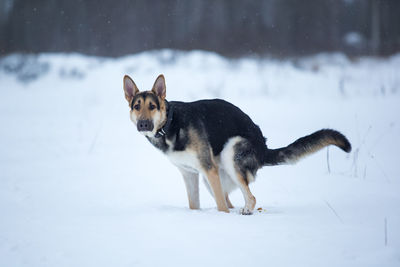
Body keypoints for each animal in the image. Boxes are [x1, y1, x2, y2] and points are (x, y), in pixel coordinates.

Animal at [122, 75, 350, 216]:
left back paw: (247, 210)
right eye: (137, 106)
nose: (143, 124)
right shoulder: (190, 174)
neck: (170, 124)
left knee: (250, 198)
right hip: (211, 179)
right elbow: (194, 205)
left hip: (230, 155)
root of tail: (263, 147)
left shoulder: (208, 169)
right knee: (233, 200)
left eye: (152, 106)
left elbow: (222, 207)